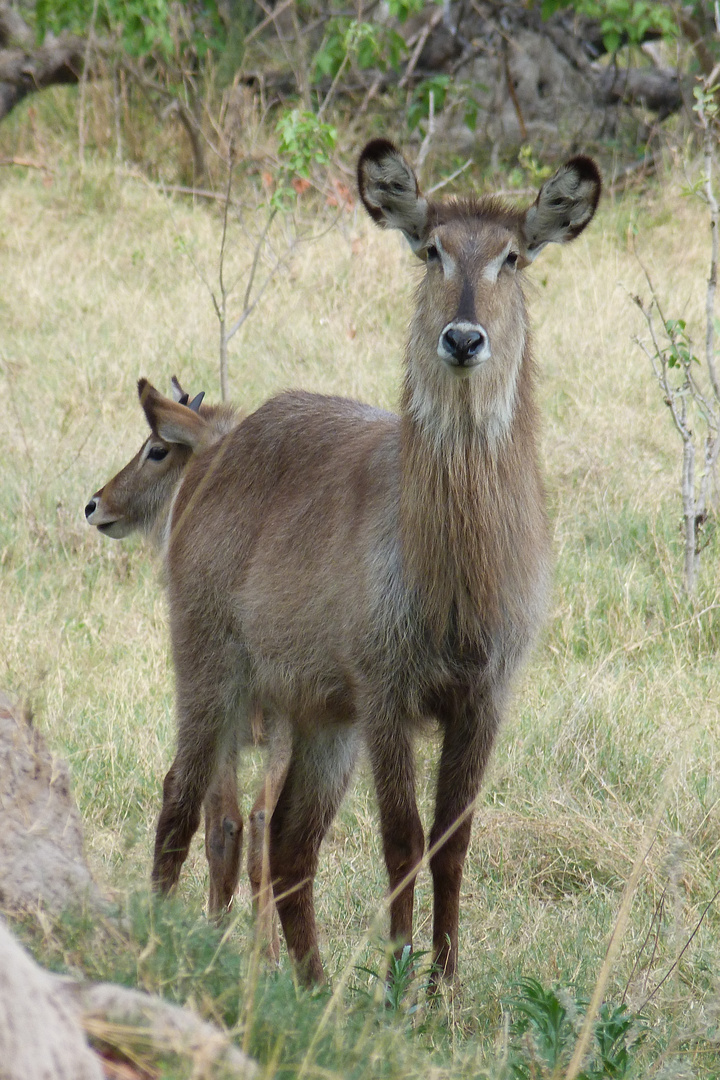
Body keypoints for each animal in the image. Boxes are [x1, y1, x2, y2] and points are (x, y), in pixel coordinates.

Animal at [112, 145, 600, 989]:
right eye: (431, 249)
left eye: (512, 256)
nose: (463, 338)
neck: (454, 569)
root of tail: (221, 446)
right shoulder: (387, 693)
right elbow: (402, 841)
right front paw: (400, 984)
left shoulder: (484, 697)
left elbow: (453, 845)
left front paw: (443, 988)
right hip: (211, 670)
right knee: (181, 798)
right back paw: (157, 946)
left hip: (317, 717)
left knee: (289, 845)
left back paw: (310, 986)